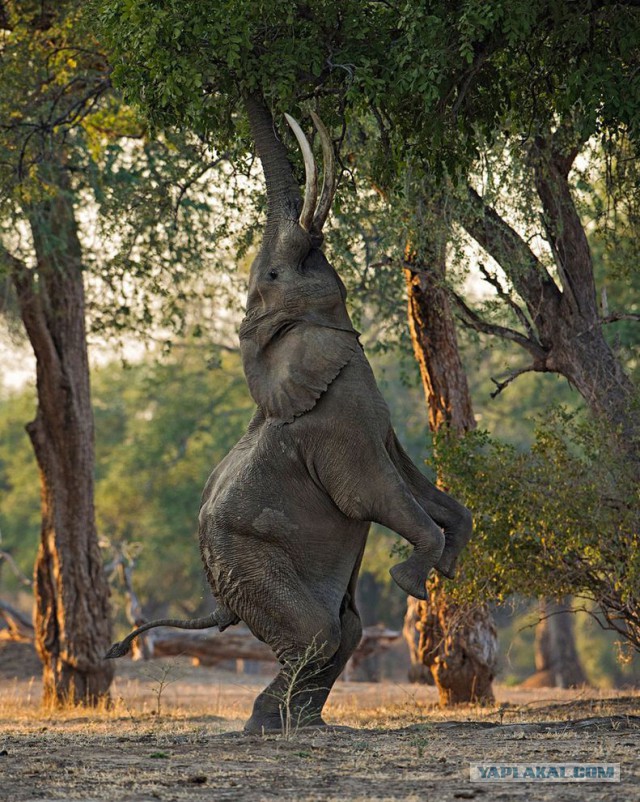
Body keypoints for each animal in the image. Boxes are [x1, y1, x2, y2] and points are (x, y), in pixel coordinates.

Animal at [105, 94, 472, 732]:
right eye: (275, 275)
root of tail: (219, 598)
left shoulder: (376, 423)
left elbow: (421, 488)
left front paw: (448, 563)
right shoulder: (335, 427)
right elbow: (373, 494)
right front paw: (413, 582)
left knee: (345, 630)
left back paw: (305, 726)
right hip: (247, 561)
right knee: (320, 631)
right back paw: (265, 727)